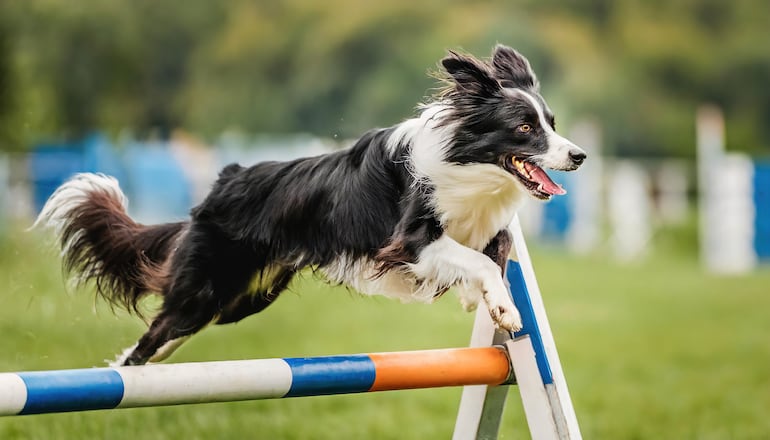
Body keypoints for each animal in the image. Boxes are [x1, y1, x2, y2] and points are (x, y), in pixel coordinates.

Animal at [34, 46, 584, 366]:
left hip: (240, 300)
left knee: (163, 338)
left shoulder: (483, 226)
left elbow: (499, 249)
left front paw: (483, 301)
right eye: (525, 128)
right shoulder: (410, 240)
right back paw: (124, 377)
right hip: (205, 290)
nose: (578, 155)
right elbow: (477, 260)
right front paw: (503, 309)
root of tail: (223, 182)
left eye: (553, 123)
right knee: (151, 338)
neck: (471, 165)